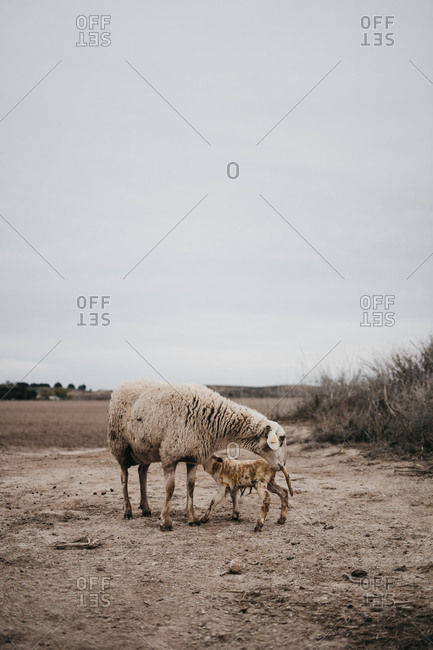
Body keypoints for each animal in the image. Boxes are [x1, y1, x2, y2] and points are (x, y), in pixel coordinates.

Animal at [108, 379, 288, 530]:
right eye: (281, 439)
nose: (282, 465)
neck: (213, 420)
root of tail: (121, 385)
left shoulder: (193, 457)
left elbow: (191, 487)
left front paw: (192, 518)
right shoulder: (169, 456)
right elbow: (170, 488)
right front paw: (165, 521)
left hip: (146, 449)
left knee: (142, 473)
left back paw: (145, 508)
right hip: (120, 445)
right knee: (124, 478)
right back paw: (127, 511)